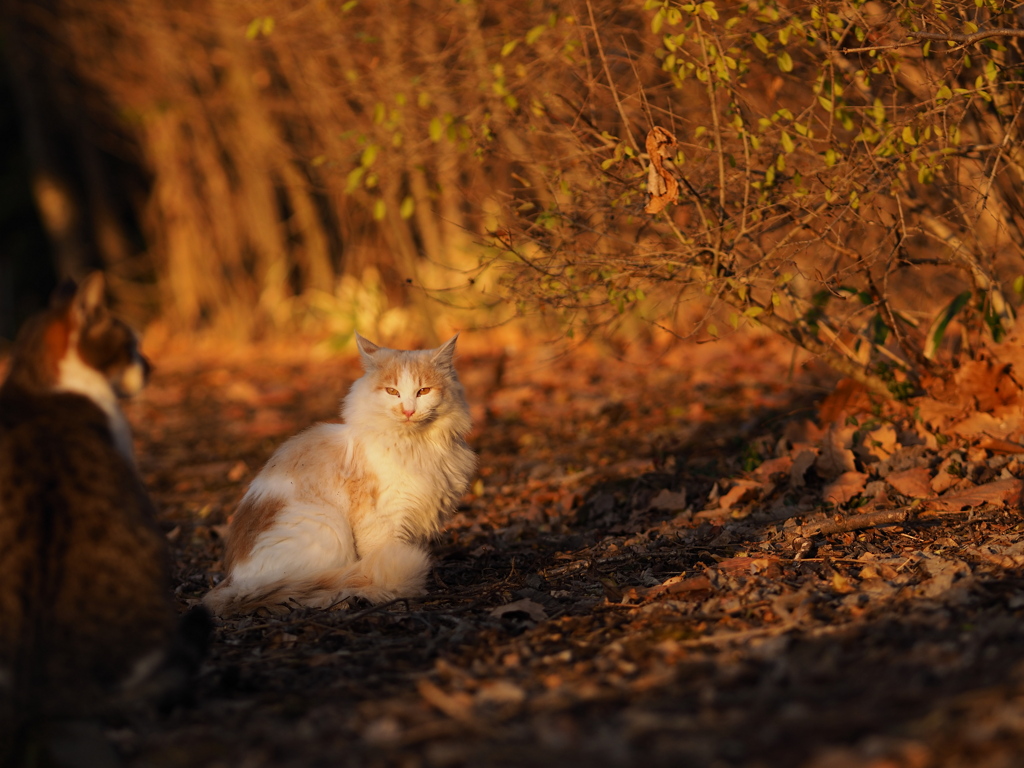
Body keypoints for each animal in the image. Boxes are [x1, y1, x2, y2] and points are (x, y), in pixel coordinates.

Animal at [202, 333, 475, 618]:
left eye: (423, 391)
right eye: (392, 392)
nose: (408, 411)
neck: (415, 446)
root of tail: (233, 582)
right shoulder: (383, 518)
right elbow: (387, 557)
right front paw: (398, 600)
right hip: (328, 529)